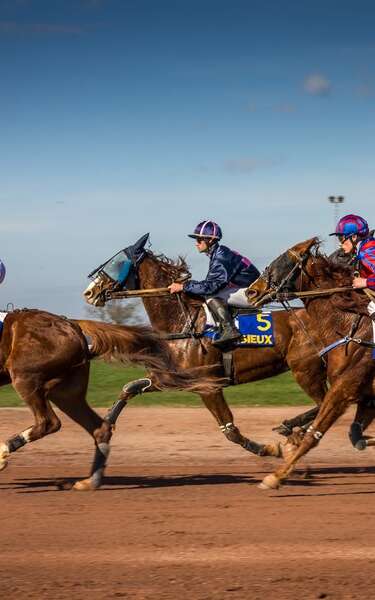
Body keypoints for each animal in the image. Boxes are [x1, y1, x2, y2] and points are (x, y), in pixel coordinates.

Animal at [0, 310, 220, 488]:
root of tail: (72, 325)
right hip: (65, 392)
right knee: (99, 428)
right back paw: (91, 482)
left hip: (26, 377)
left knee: (48, 422)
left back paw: (2, 455)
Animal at [83, 232, 338, 458]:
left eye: (116, 263)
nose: (89, 292)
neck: (181, 320)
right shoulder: (171, 378)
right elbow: (130, 388)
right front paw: (104, 427)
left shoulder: (209, 386)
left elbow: (230, 431)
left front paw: (268, 449)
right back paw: (292, 427)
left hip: (305, 370)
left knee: (326, 402)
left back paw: (293, 428)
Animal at [248, 237, 375, 490]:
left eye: (281, 262)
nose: (251, 291)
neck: (349, 327)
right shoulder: (365, 396)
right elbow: (354, 435)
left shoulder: (343, 390)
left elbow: (314, 434)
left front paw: (275, 476)